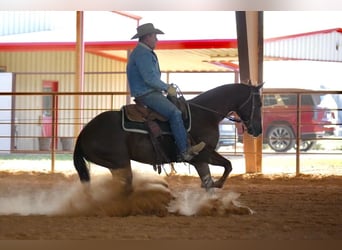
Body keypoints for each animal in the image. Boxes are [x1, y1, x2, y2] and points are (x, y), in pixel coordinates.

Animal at [73, 83, 264, 191]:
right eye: (260, 103)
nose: (258, 130)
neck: (204, 114)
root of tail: (84, 133)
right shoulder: (200, 157)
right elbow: (212, 178)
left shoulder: (208, 153)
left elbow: (227, 166)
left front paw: (216, 187)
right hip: (120, 162)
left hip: (116, 166)